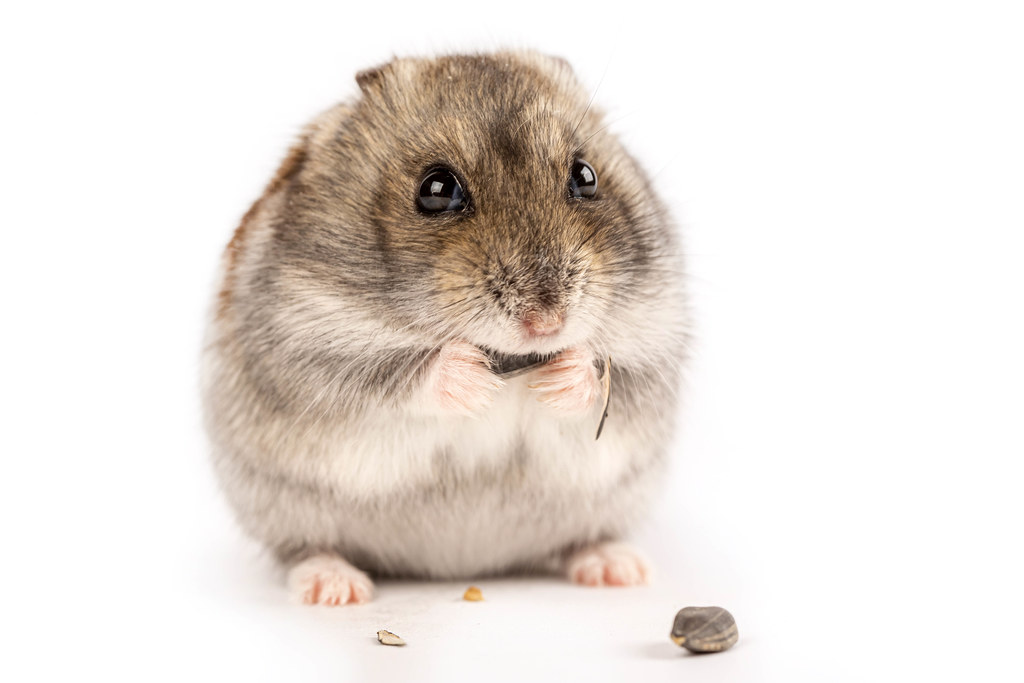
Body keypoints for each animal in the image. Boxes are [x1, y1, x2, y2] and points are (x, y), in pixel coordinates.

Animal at [202, 51, 690, 605]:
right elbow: (406, 376)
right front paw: (472, 374)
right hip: (284, 507)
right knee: (306, 548)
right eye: (436, 190)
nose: (546, 323)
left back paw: (618, 568)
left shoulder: (654, 337)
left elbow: (611, 373)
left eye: (585, 176)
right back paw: (334, 587)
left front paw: (558, 377)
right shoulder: (304, 352)